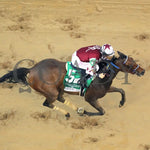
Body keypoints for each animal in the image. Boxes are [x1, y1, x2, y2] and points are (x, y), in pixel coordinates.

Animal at [0, 51, 145, 119]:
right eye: (129, 64)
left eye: (134, 60)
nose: (142, 71)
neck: (102, 74)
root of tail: (31, 70)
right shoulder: (90, 98)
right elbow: (102, 112)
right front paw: (86, 112)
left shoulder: (105, 89)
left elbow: (121, 90)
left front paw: (121, 103)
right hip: (50, 91)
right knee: (47, 103)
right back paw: (70, 113)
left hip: (59, 89)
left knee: (60, 99)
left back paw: (75, 110)